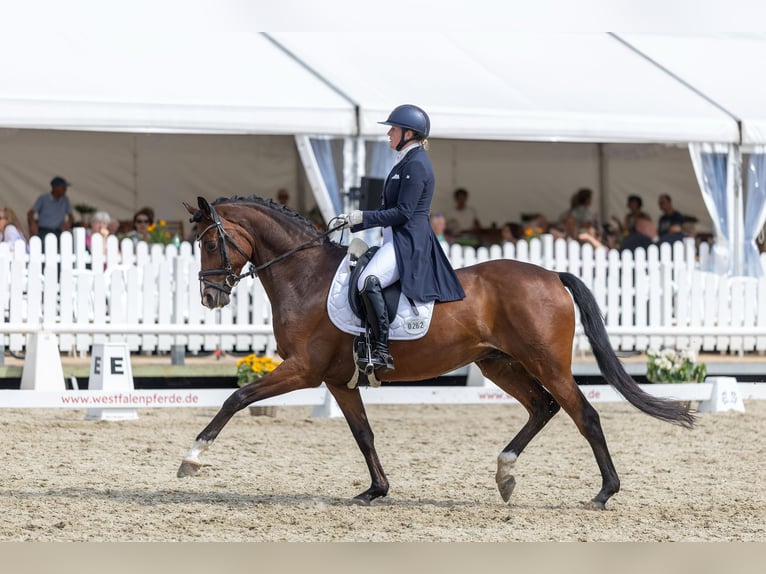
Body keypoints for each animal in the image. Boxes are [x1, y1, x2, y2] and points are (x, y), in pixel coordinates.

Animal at [177, 195, 695, 510]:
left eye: (210, 242)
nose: (209, 296)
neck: (305, 277)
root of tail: (551, 274)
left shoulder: (303, 369)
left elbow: (236, 398)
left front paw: (193, 457)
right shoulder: (335, 379)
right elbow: (363, 434)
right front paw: (375, 490)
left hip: (546, 362)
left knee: (583, 414)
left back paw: (604, 493)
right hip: (498, 363)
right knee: (543, 407)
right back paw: (505, 474)